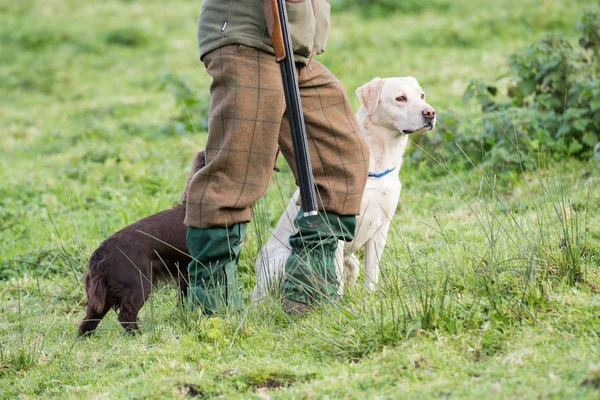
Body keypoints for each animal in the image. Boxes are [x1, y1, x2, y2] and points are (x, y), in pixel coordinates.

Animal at [78, 152, 205, 336]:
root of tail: (100, 253)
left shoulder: (185, 274)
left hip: (104, 294)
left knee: (89, 319)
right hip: (139, 284)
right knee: (126, 314)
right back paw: (140, 334)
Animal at [253, 76, 436, 300]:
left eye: (422, 95)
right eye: (400, 98)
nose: (431, 113)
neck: (379, 164)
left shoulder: (381, 227)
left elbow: (372, 270)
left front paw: (370, 298)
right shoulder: (337, 226)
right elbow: (336, 273)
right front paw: (339, 303)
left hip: (353, 262)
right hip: (277, 261)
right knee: (262, 296)